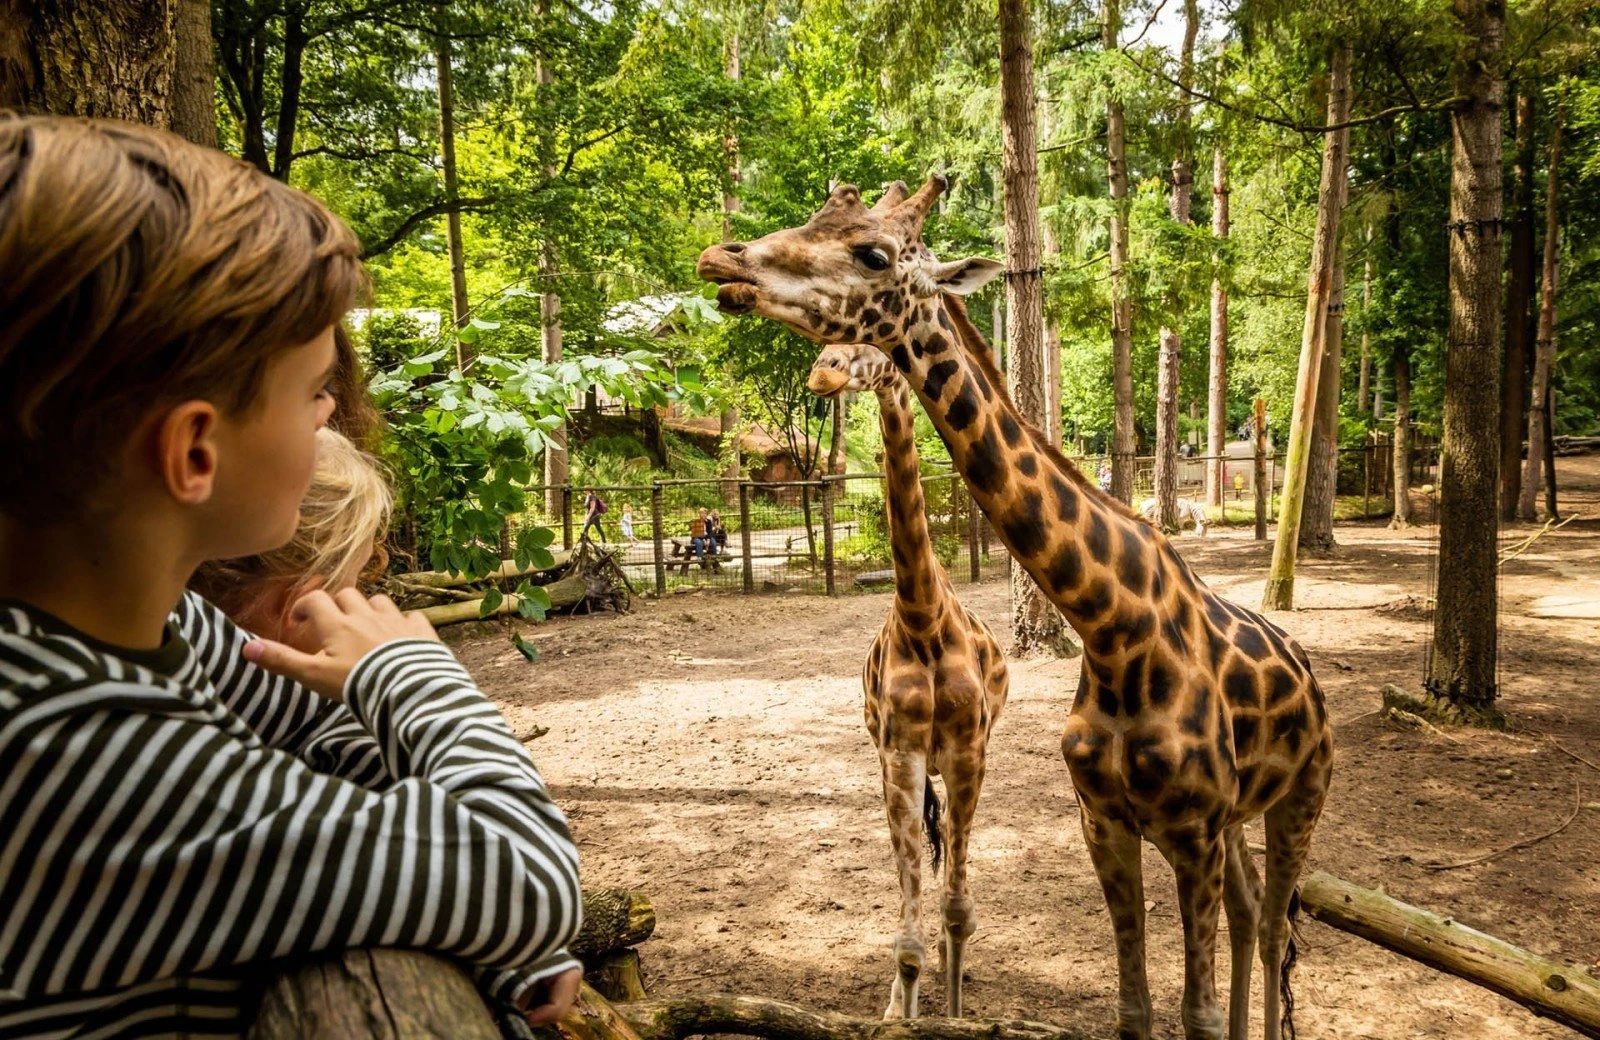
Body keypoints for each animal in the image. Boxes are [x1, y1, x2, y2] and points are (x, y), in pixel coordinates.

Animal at [808, 342, 1008, 1021]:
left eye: (869, 345)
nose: (822, 371)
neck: (923, 618)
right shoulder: (900, 754)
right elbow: (908, 939)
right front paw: (902, 1013)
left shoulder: (970, 750)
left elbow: (958, 913)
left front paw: (954, 1013)